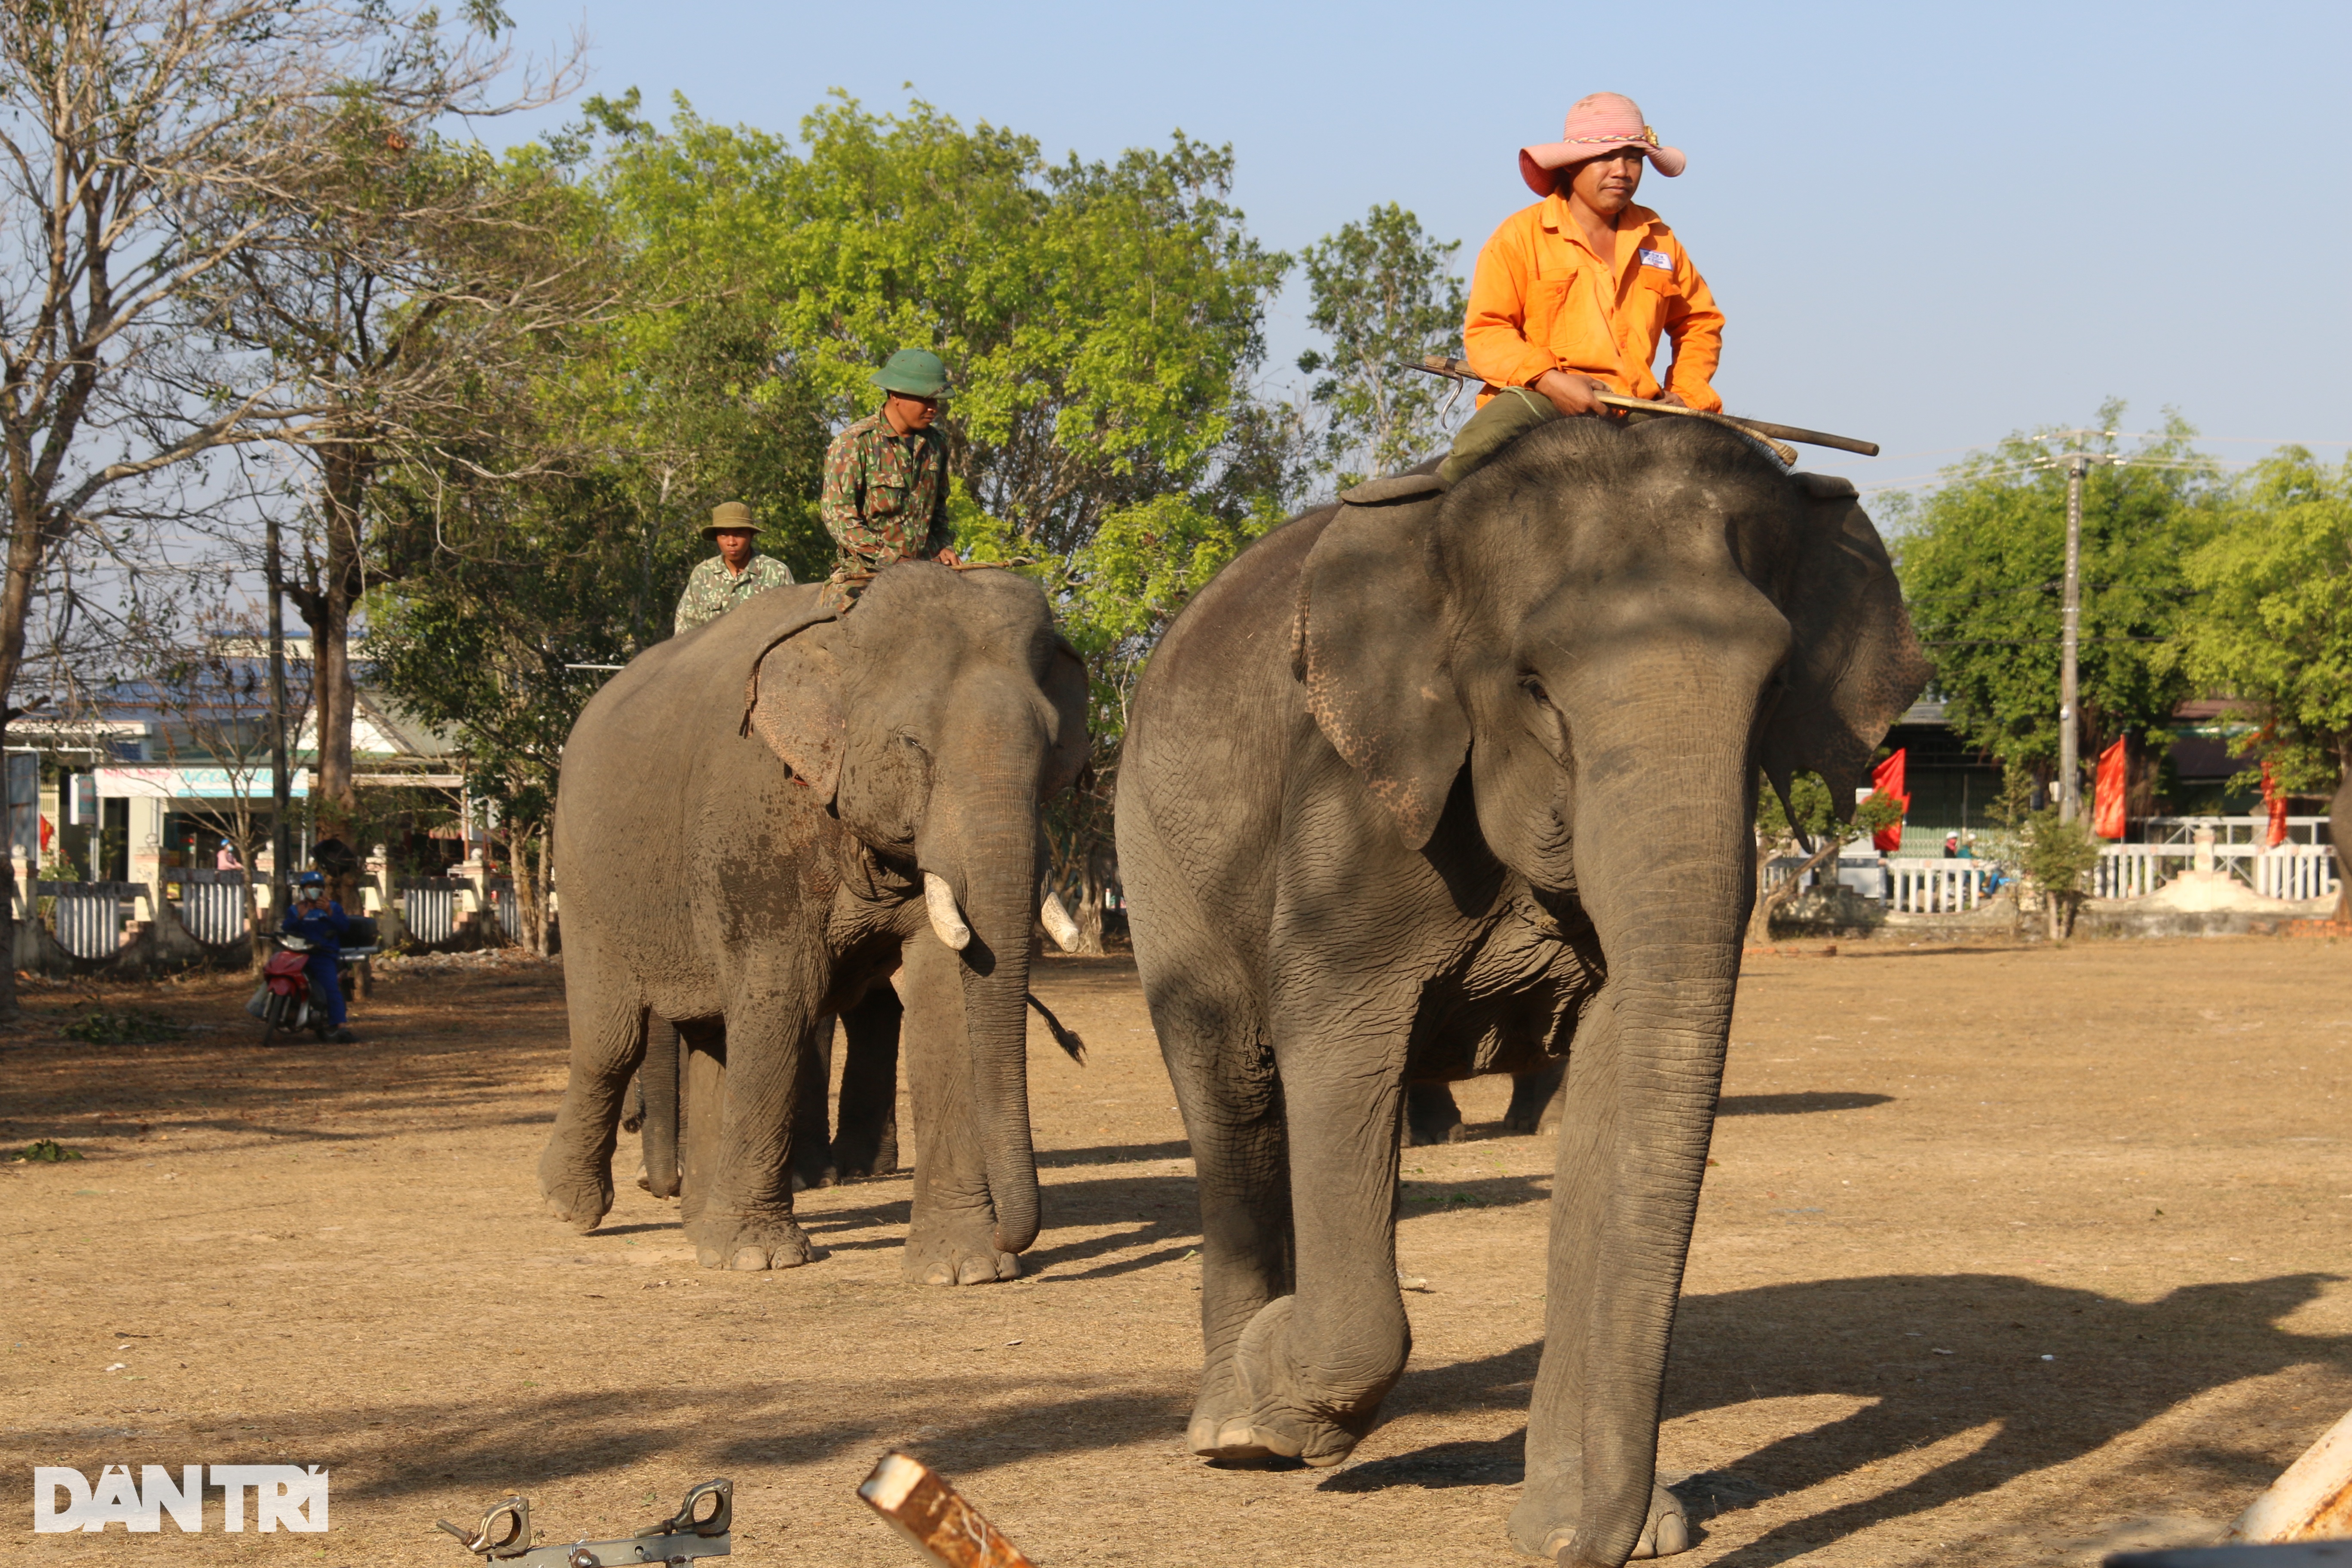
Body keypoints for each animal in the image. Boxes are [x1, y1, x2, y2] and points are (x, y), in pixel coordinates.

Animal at [539, 564, 1087, 1288]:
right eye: (913, 744)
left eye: (1053, 749)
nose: (1011, 1235)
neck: (845, 632)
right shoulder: (752, 825)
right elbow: (783, 991)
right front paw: (760, 1258)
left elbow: (947, 996)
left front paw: (965, 1269)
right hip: (581, 878)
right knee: (612, 1039)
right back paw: (569, 1208)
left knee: (712, 1035)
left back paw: (699, 1229)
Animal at [1119, 420, 1929, 1568]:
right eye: (1537, 686)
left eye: (1775, 690)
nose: (1606, 1539)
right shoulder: (1352, 809)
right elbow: (1335, 1044)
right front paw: (1279, 1386)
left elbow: (1615, 1079)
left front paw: (1586, 1528)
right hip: (1154, 852)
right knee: (1231, 1091)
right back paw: (1233, 1428)